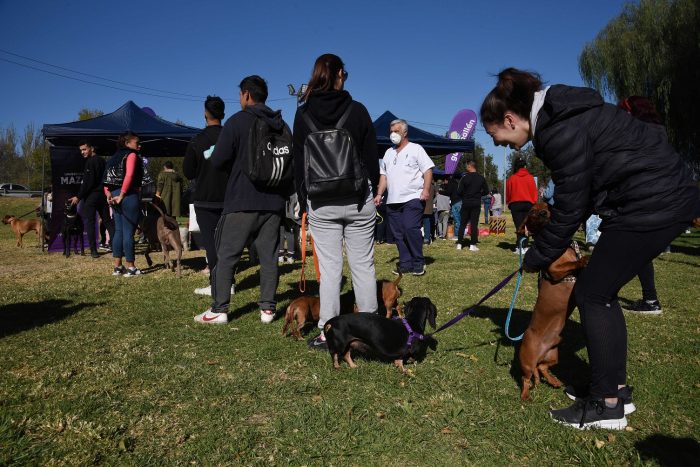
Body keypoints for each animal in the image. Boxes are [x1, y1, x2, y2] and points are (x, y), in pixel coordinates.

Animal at [516, 203, 588, 400]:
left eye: (548, 206)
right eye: (532, 212)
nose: (543, 213)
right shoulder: (555, 270)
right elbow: (570, 264)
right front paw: (584, 260)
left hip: (554, 355)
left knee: (542, 368)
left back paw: (554, 381)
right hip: (527, 361)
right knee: (526, 378)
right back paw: (525, 395)